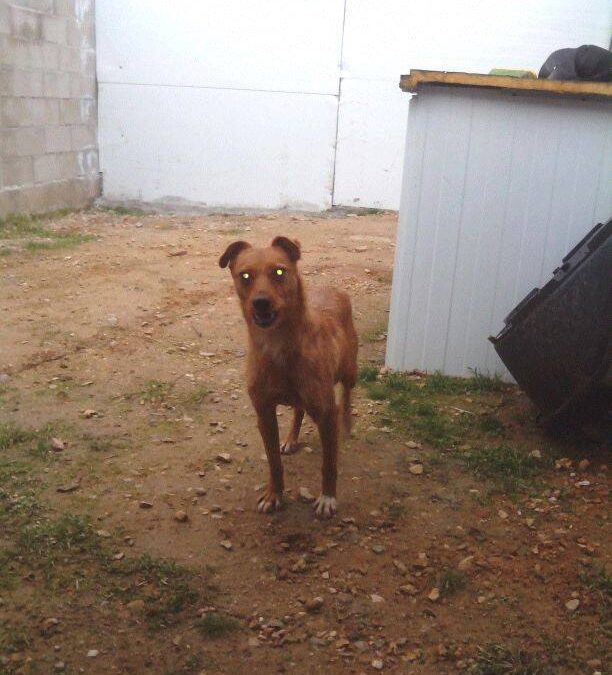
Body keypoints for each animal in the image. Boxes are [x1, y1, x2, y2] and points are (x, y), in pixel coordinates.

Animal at [219, 236, 358, 517]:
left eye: (279, 272)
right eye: (245, 276)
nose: (261, 302)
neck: (278, 346)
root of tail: (334, 289)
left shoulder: (327, 413)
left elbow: (329, 464)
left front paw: (327, 498)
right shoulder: (264, 414)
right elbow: (274, 462)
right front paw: (274, 495)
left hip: (350, 370)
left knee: (347, 393)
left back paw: (347, 424)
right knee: (298, 410)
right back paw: (292, 439)